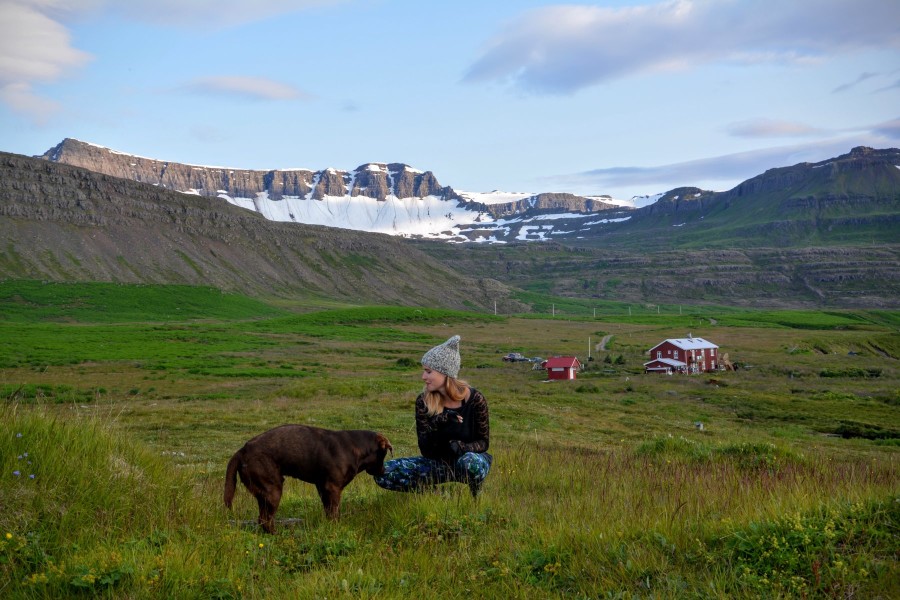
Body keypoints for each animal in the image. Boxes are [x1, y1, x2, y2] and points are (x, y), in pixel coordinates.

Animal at [223, 422, 392, 536]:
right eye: (383, 454)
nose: (384, 470)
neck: (356, 448)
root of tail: (242, 450)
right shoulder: (333, 488)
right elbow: (335, 513)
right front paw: (336, 528)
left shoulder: (323, 488)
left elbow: (329, 512)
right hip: (272, 490)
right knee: (265, 519)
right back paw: (277, 535)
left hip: (264, 493)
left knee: (263, 518)